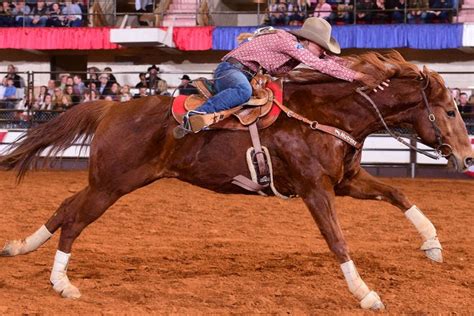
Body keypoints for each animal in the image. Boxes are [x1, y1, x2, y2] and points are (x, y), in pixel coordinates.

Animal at [0, 51, 472, 308]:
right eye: (450, 111)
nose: (467, 156)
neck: (326, 115)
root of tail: (113, 108)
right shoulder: (315, 189)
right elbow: (337, 240)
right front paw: (366, 293)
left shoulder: (346, 182)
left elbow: (398, 192)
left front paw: (432, 244)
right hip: (111, 185)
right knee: (75, 220)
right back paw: (62, 283)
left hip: (107, 182)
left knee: (65, 208)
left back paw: (20, 248)